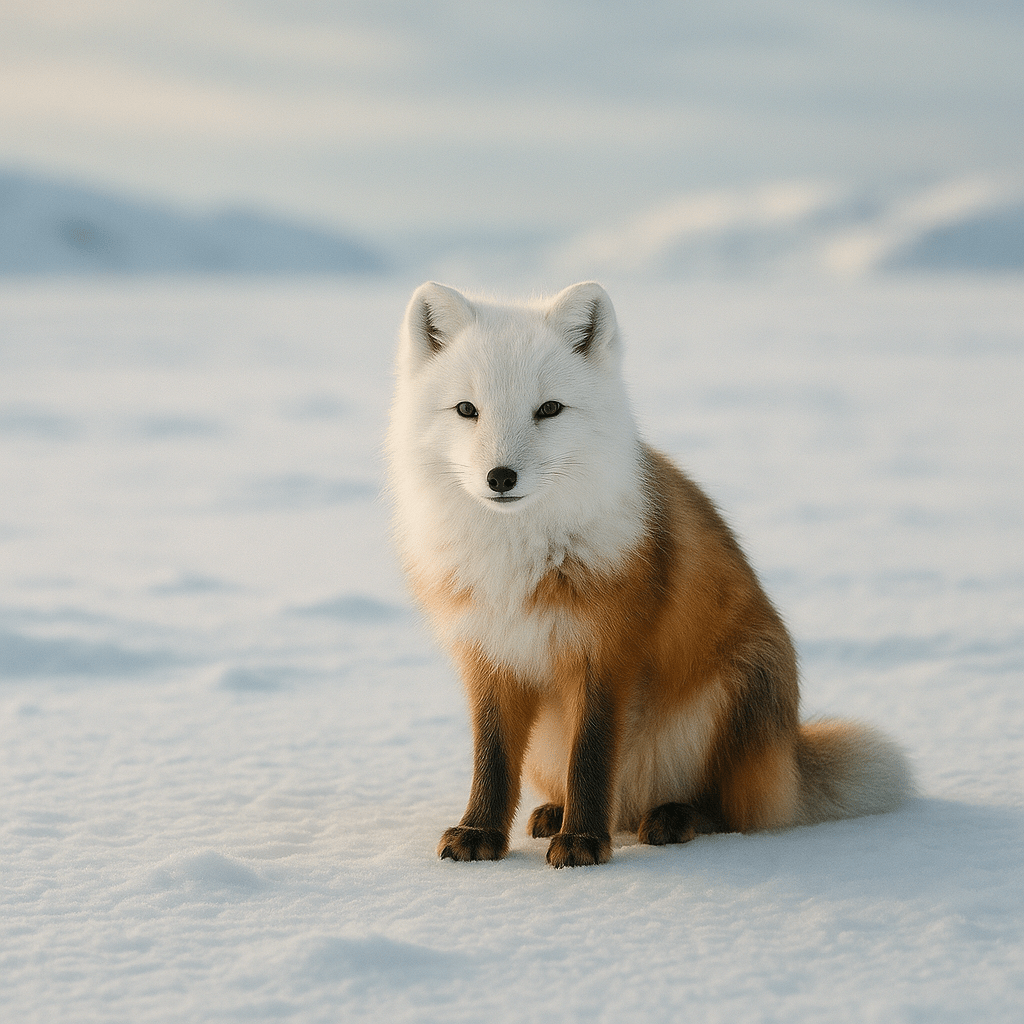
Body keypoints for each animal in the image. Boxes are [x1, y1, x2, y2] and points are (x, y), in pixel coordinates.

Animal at [387, 280, 914, 868]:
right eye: (466, 409)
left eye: (548, 409)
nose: (501, 477)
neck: (519, 559)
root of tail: (791, 759)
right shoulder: (490, 654)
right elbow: (493, 763)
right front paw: (479, 834)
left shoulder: (606, 652)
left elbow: (592, 757)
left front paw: (583, 843)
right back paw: (556, 814)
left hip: (734, 694)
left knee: (731, 812)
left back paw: (670, 818)